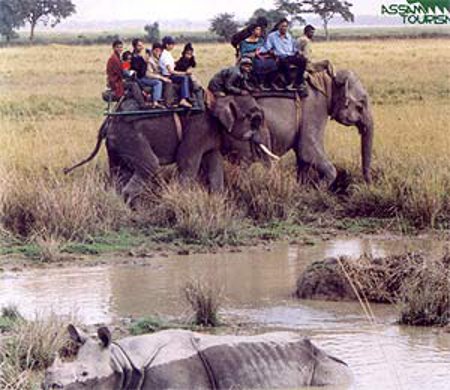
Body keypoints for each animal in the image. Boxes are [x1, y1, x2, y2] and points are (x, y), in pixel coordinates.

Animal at [62, 94, 274, 198]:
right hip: (130, 138)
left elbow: (214, 163)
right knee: (150, 165)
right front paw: (181, 199)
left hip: (115, 144)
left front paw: (217, 200)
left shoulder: (209, 133)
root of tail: (108, 121)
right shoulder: (198, 127)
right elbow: (187, 162)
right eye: (256, 120)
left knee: (117, 171)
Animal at [221, 68, 372, 186]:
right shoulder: (314, 108)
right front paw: (319, 191)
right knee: (243, 164)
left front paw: (303, 189)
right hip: (240, 132)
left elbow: (302, 158)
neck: (328, 78)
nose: (367, 183)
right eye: (360, 106)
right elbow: (307, 151)